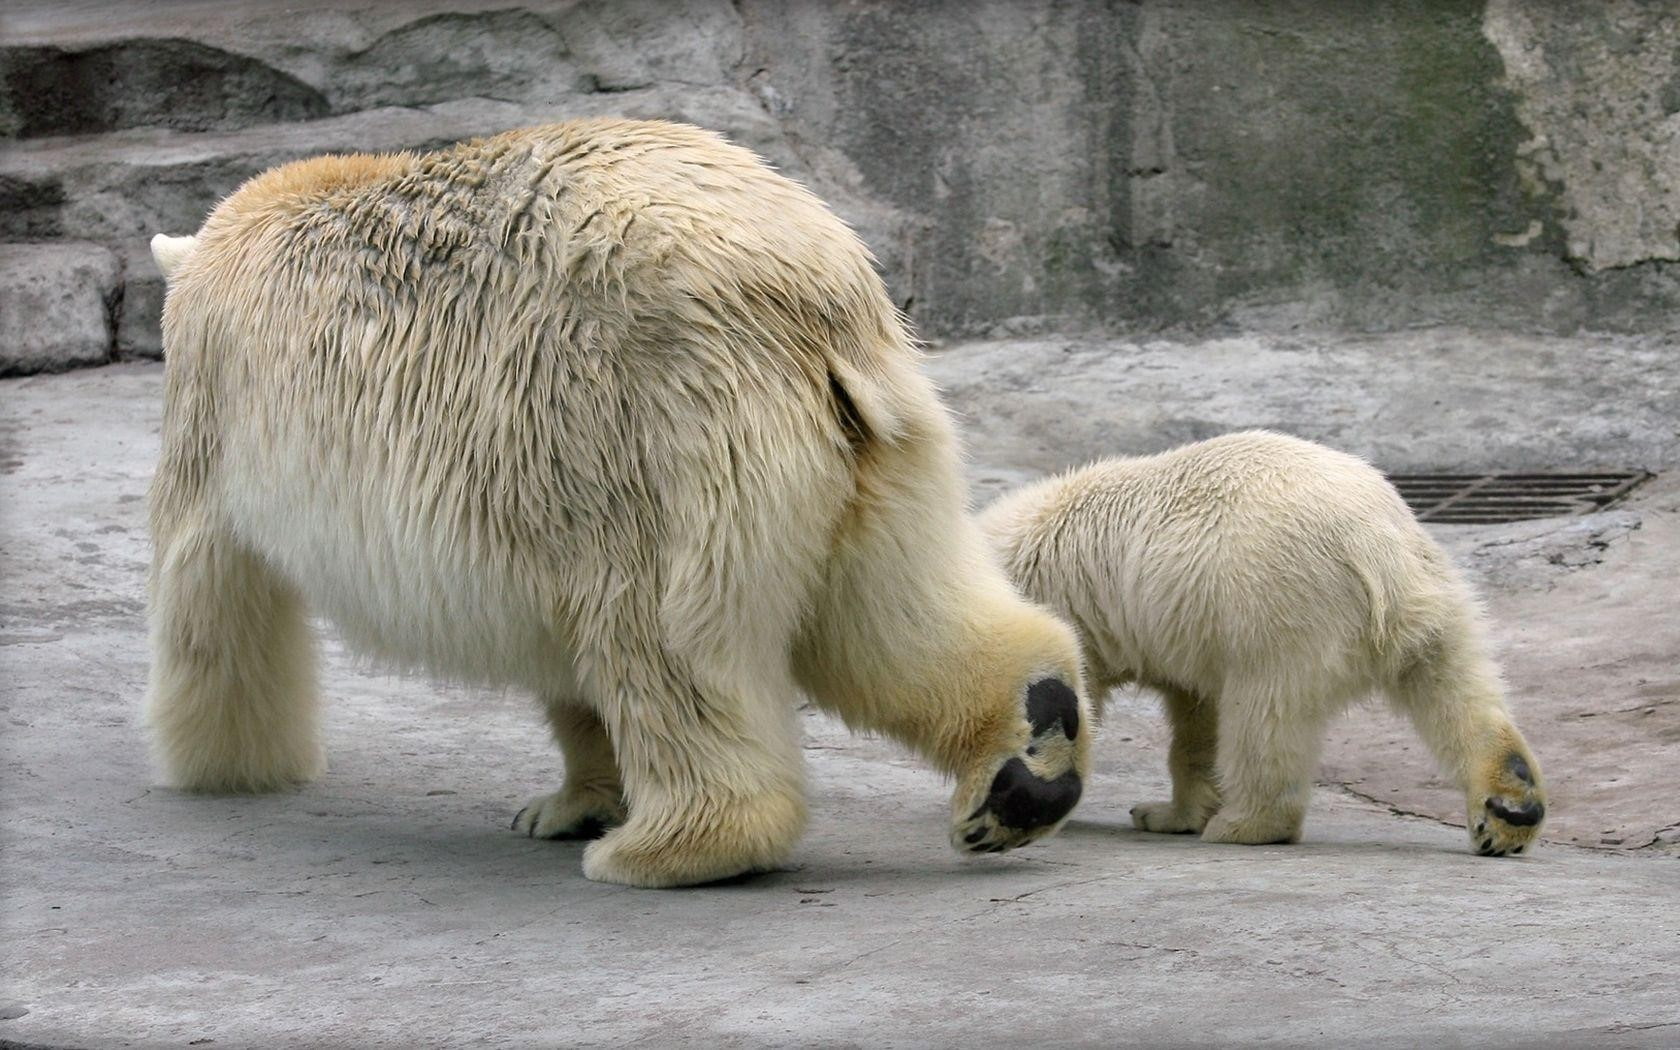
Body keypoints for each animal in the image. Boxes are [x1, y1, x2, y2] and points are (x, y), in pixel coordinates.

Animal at [144, 118, 1091, 888]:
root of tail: (803, 301)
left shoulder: (214, 392)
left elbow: (208, 585)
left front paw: (221, 766)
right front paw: (568, 804)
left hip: (640, 433)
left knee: (659, 637)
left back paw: (670, 849)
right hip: (880, 440)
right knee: (889, 611)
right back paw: (1025, 762)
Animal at [977, 430, 1546, 856]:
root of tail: (1375, 542)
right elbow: (1194, 715)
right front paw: (1166, 813)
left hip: (1279, 604)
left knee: (1265, 715)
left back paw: (1243, 824)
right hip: (1437, 596)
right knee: (1457, 690)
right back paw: (1509, 810)